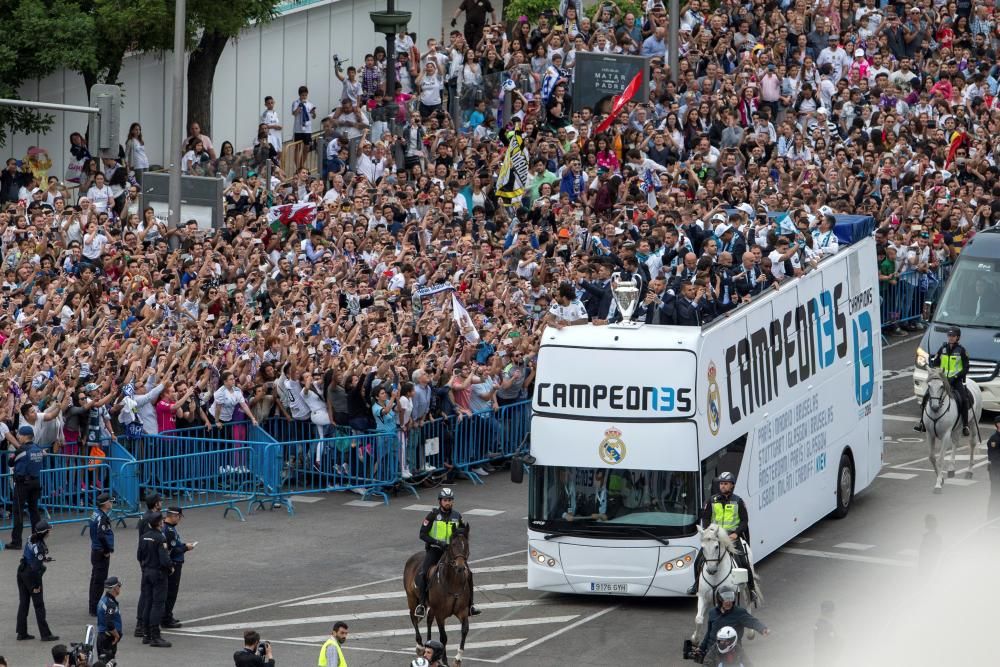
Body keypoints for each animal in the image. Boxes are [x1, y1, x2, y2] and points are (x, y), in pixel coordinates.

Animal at [402, 524, 472, 664]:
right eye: (453, 544)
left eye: (466, 544)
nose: (460, 567)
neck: (453, 583)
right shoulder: (440, 615)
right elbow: (443, 637)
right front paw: (444, 659)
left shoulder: (462, 611)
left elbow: (464, 630)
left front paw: (458, 657)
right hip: (412, 599)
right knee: (413, 617)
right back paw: (419, 646)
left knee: (429, 619)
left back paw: (428, 644)